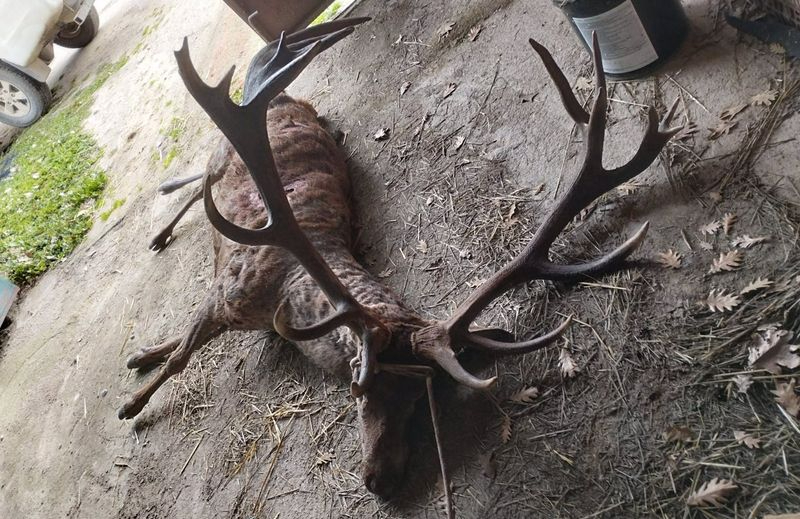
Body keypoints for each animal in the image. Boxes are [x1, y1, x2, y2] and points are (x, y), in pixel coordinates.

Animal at [118, 17, 680, 504]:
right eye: (361, 391)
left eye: (417, 402)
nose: (379, 482)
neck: (289, 293)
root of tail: (280, 94)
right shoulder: (227, 296)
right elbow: (182, 356)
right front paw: (133, 403)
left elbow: (180, 344)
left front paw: (142, 359)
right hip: (221, 160)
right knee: (200, 183)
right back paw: (161, 229)